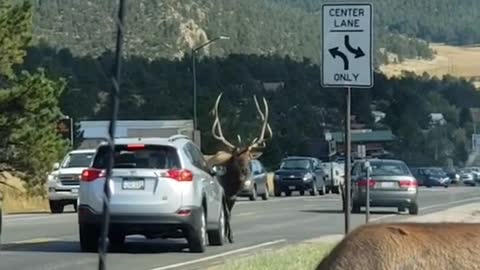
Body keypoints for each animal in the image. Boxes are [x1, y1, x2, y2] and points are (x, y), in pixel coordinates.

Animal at [206, 92, 274, 244]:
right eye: (237, 158)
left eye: (249, 158)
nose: (245, 173)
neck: (230, 184)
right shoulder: (224, 195)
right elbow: (225, 214)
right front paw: (227, 236)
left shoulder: (233, 196)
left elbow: (229, 214)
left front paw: (230, 236)